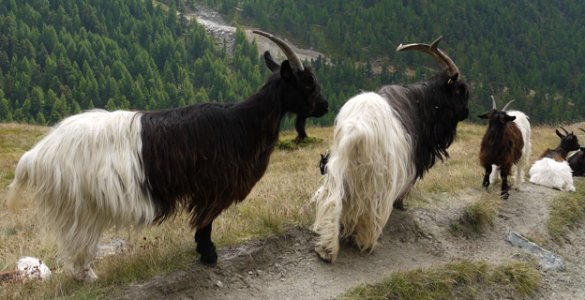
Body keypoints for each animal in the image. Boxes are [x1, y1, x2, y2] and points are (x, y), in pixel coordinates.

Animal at [6, 30, 328, 282]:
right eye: (308, 83)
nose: (325, 106)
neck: (241, 123)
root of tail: (37, 154)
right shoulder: (213, 188)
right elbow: (205, 222)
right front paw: (208, 254)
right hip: (80, 206)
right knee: (76, 244)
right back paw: (88, 276)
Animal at [310, 37, 470, 262]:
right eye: (459, 90)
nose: (467, 112)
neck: (422, 104)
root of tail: (356, 131)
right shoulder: (409, 166)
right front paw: (401, 206)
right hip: (377, 177)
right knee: (372, 211)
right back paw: (366, 241)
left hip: (339, 167)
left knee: (331, 198)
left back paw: (326, 248)